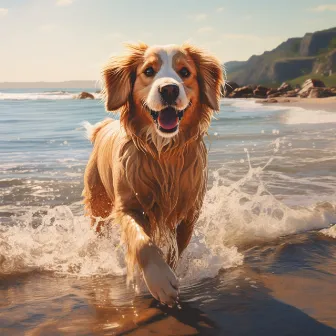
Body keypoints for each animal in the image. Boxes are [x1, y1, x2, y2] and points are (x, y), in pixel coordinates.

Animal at [82, 43, 223, 306]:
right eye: (148, 70)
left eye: (185, 72)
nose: (169, 89)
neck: (163, 153)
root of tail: (103, 127)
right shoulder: (127, 206)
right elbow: (143, 242)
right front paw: (160, 281)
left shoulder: (189, 213)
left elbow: (175, 250)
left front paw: (171, 271)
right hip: (98, 203)